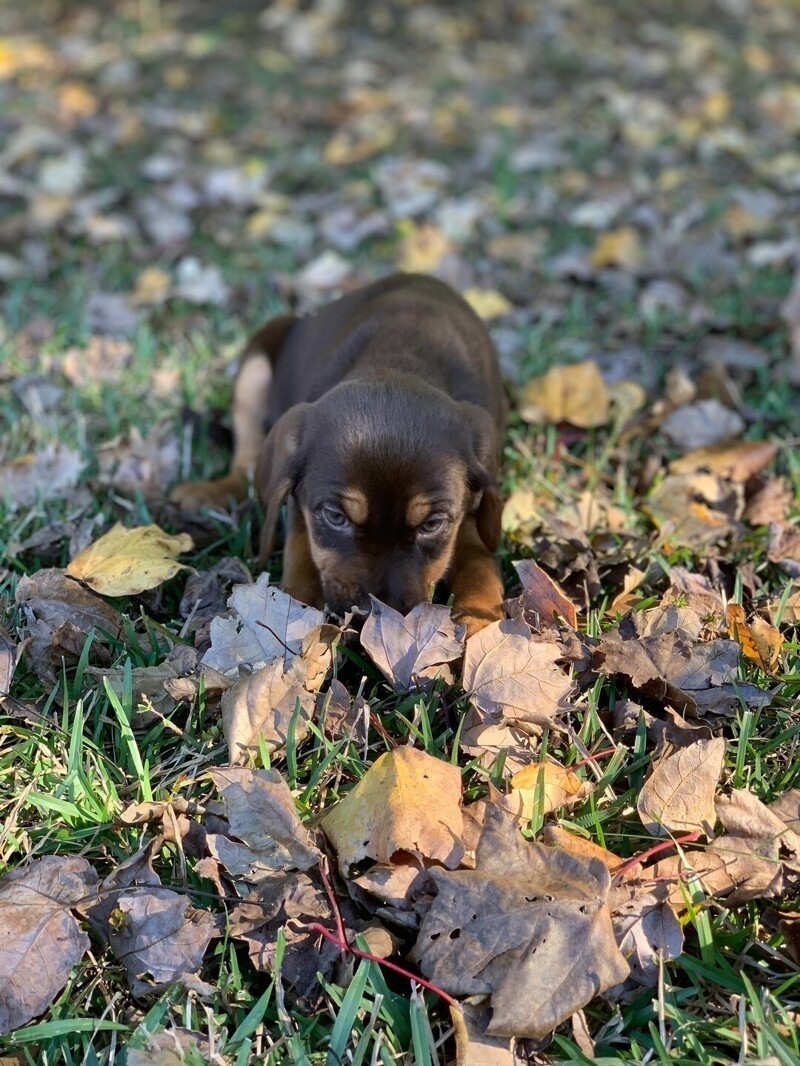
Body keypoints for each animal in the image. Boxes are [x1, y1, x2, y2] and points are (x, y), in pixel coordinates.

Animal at [171, 275, 503, 639]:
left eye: (431, 525)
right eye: (334, 517)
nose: (371, 615)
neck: (402, 357)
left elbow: (479, 560)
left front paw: (482, 625)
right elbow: (300, 549)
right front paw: (299, 616)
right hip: (258, 358)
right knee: (245, 459)